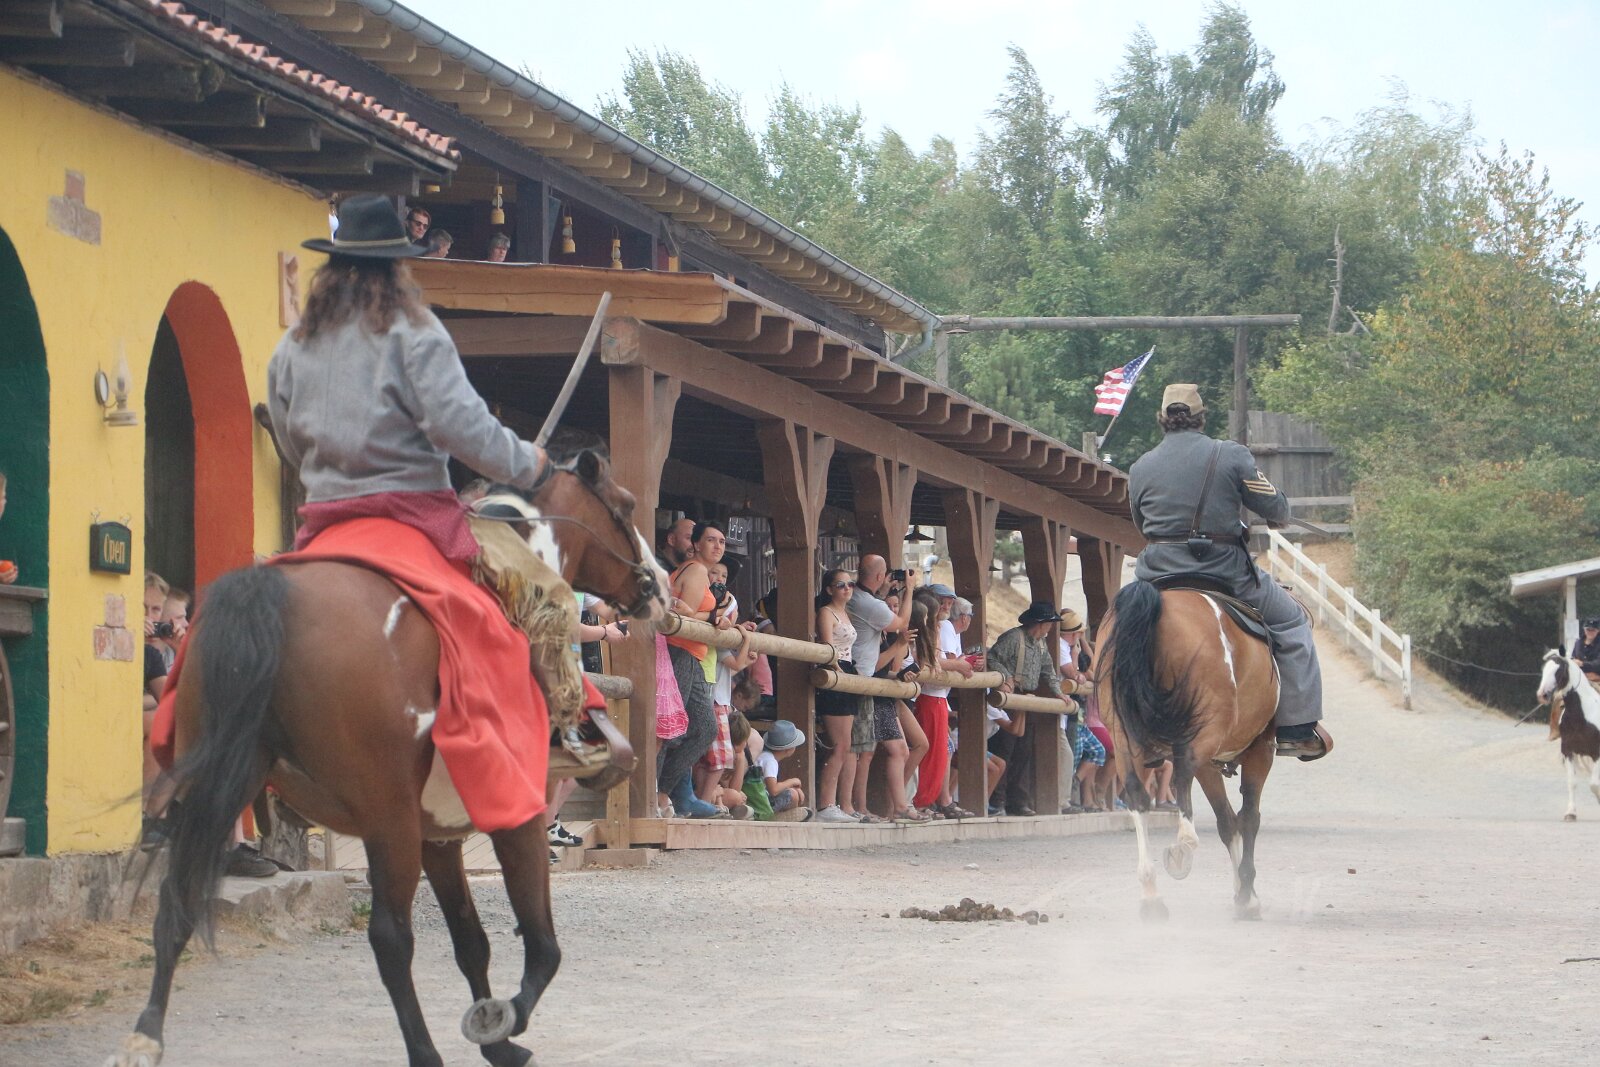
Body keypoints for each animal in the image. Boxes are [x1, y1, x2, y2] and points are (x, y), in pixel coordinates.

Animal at [107, 444, 670, 1067]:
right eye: (626, 505)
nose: (658, 585)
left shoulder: (439, 835)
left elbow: (471, 940)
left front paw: (497, 1041)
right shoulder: (513, 811)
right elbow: (543, 947)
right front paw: (505, 1020)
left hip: (215, 789)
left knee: (177, 902)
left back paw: (145, 1036)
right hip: (386, 821)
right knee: (391, 938)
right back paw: (424, 1051)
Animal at [1093, 580, 1280, 921]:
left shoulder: (1209, 764)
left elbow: (1227, 822)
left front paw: (1241, 891)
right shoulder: (1261, 749)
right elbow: (1248, 818)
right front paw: (1247, 896)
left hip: (1125, 737)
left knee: (1138, 796)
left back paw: (1151, 894)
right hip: (1201, 736)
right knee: (1181, 777)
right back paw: (1182, 849)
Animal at [1535, 650, 1600, 821]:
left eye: (1558, 671)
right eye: (1544, 669)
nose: (1542, 695)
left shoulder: (1597, 753)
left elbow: (1594, 784)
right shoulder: (1568, 751)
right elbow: (1572, 782)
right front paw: (1571, 812)